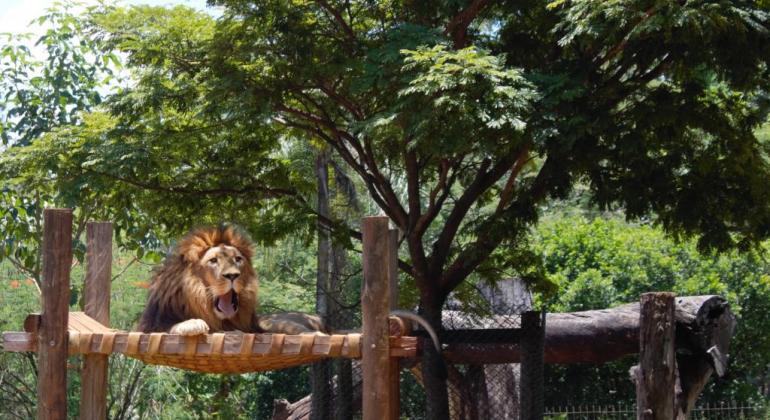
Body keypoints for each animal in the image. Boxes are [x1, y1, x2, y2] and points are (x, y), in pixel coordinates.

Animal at [138, 225, 328, 336]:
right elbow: (167, 326)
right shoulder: (150, 323)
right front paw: (193, 323)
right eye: (213, 261)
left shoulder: (254, 326)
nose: (232, 275)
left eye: (238, 259)